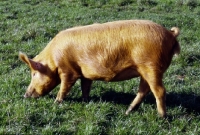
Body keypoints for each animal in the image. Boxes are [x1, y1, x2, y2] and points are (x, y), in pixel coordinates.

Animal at [19, 19, 180, 117]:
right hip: (144, 70)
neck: (53, 58)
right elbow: (85, 86)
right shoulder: (84, 73)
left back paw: (162, 116)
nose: (25, 95)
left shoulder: (68, 71)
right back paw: (128, 111)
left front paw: (56, 103)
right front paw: (85, 101)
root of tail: (170, 33)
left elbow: (64, 87)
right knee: (143, 90)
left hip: (151, 66)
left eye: (34, 74)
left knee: (159, 90)